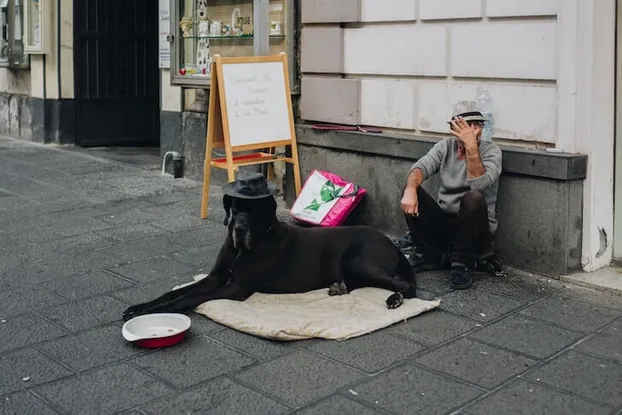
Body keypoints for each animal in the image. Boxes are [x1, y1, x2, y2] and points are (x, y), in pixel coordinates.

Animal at [122, 172, 420, 322]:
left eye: (255, 210)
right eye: (235, 206)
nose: (238, 229)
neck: (244, 247)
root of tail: (390, 242)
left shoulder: (236, 287)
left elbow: (188, 298)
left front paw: (152, 312)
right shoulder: (215, 277)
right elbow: (175, 292)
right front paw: (140, 307)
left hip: (358, 258)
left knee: (406, 285)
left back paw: (394, 298)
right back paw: (340, 287)